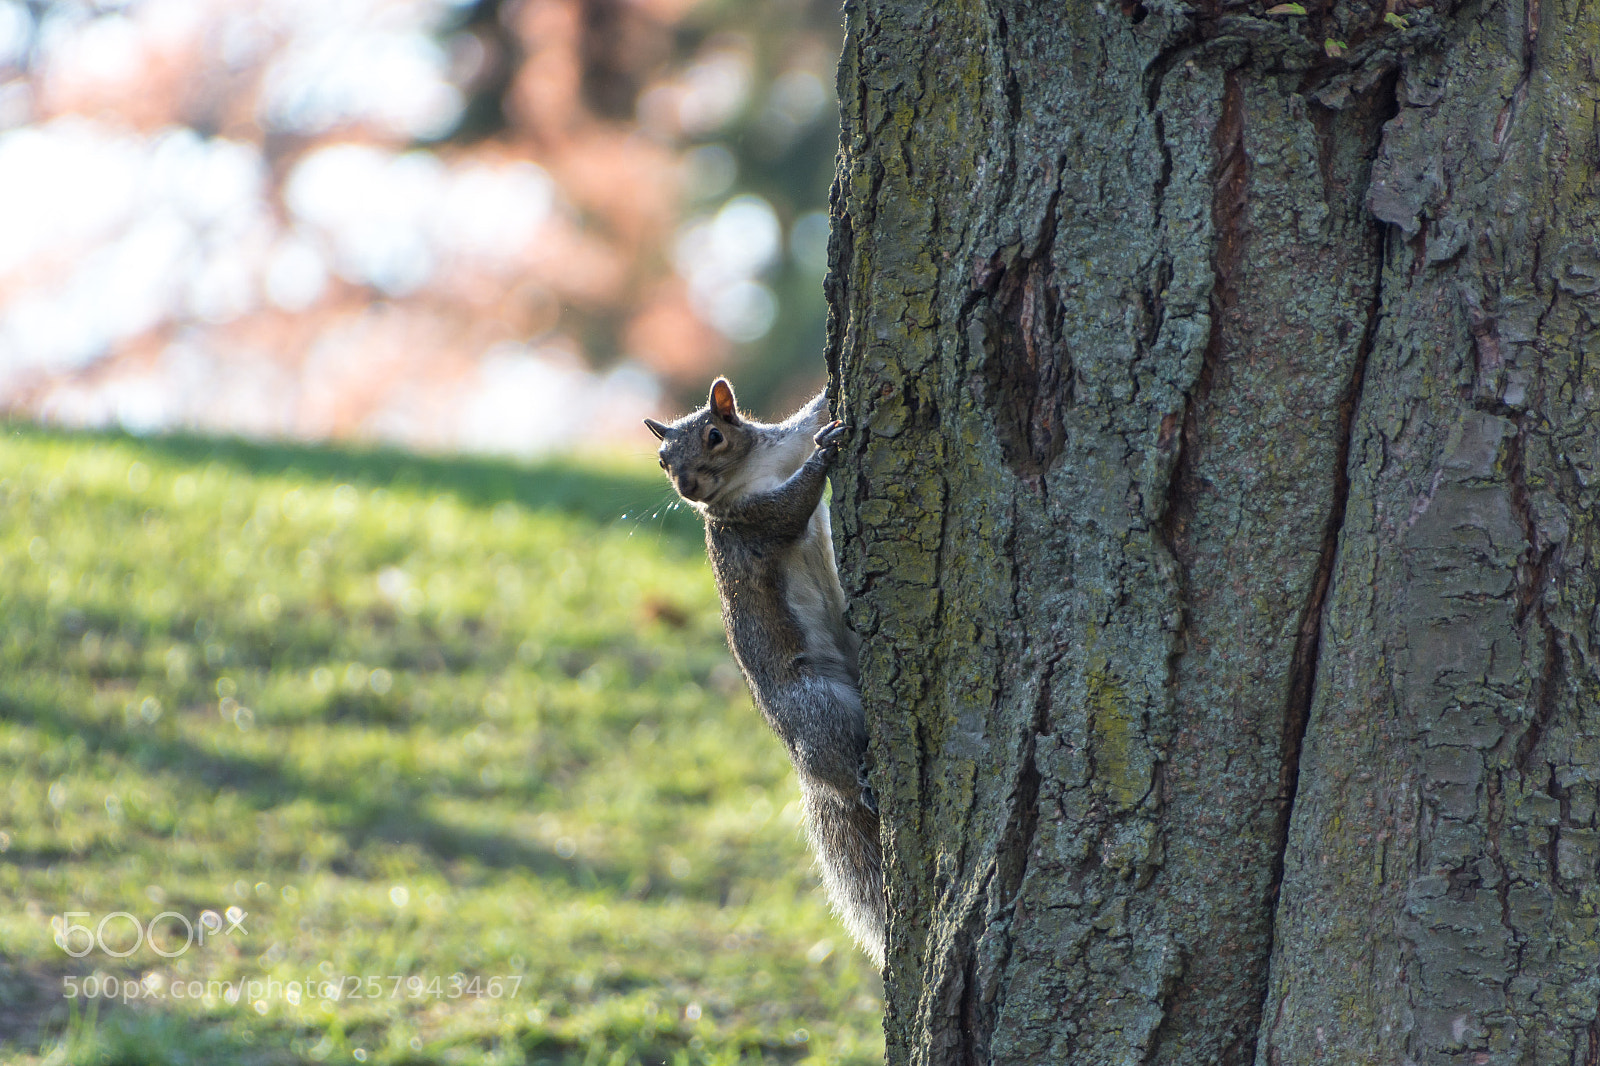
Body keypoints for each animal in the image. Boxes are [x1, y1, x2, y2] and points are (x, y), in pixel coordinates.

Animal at [645, 378, 884, 968]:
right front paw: (826, 452)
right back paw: (862, 783)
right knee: (836, 756)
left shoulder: (782, 443)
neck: (753, 470)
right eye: (662, 459)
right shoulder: (756, 519)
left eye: (715, 435)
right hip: (817, 705)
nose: (687, 486)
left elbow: (806, 419)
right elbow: (793, 505)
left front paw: (825, 411)